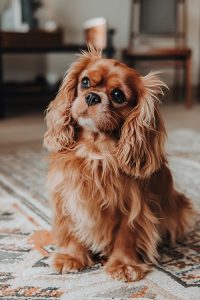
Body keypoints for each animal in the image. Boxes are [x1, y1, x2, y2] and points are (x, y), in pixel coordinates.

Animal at [43, 48, 192, 282]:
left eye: (118, 95)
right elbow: (70, 228)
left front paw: (123, 265)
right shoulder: (67, 194)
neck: (95, 150)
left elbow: (126, 236)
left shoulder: (133, 206)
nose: (92, 96)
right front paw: (70, 257)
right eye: (85, 82)